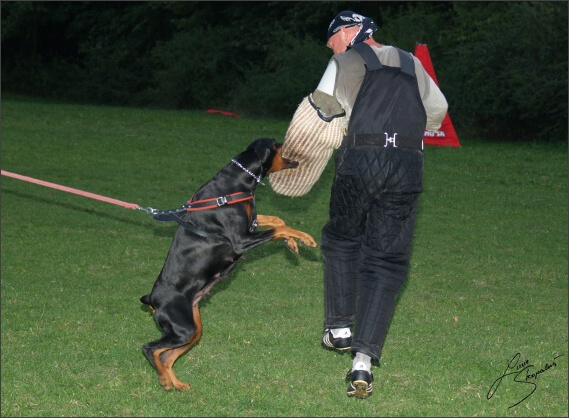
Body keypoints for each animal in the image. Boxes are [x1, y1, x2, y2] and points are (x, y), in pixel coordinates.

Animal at [138, 138, 316, 392]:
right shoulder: (241, 240)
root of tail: (152, 299)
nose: (290, 142)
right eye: (276, 143)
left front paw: (292, 242)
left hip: (192, 329)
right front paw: (304, 238)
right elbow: (279, 227)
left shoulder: (251, 223)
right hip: (183, 328)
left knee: (166, 355)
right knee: (150, 348)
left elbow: (277, 221)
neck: (235, 183)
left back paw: (177, 384)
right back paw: (164, 380)